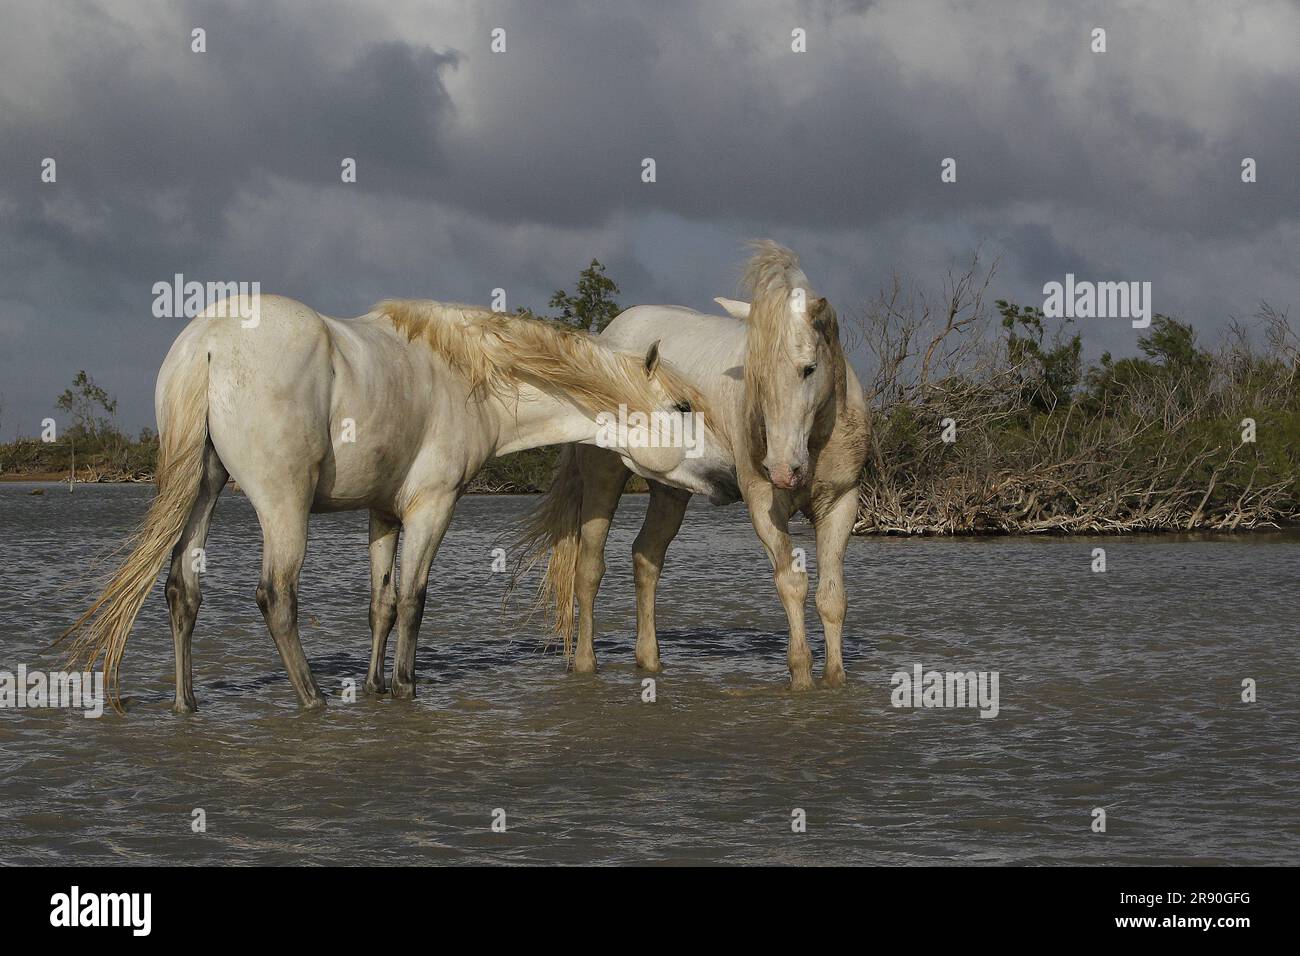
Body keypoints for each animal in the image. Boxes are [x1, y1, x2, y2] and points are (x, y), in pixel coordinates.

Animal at [63, 293, 722, 712]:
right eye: (682, 407)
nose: (723, 475)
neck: (469, 378)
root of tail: (207, 345)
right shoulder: (433, 507)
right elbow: (412, 600)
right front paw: (406, 688)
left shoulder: (382, 513)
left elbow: (379, 603)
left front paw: (377, 685)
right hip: (282, 506)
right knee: (276, 597)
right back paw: (312, 699)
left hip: (205, 488)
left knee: (182, 589)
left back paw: (186, 703)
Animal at [514, 239, 863, 686]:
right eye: (757, 378)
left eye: (809, 369)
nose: (784, 470)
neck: (817, 438)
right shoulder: (765, 506)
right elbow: (792, 584)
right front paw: (801, 678)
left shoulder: (841, 503)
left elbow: (832, 597)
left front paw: (835, 682)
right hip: (603, 479)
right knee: (589, 569)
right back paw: (585, 663)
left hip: (671, 489)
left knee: (646, 557)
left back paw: (650, 660)